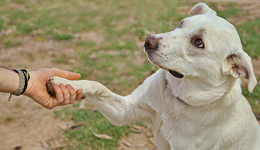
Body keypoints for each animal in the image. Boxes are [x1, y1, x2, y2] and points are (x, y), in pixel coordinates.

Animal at [47, 2, 260, 150]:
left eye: (198, 42)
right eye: (181, 24)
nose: (148, 40)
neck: (176, 100)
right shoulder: (125, 111)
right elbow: (97, 85)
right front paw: (65, 83)